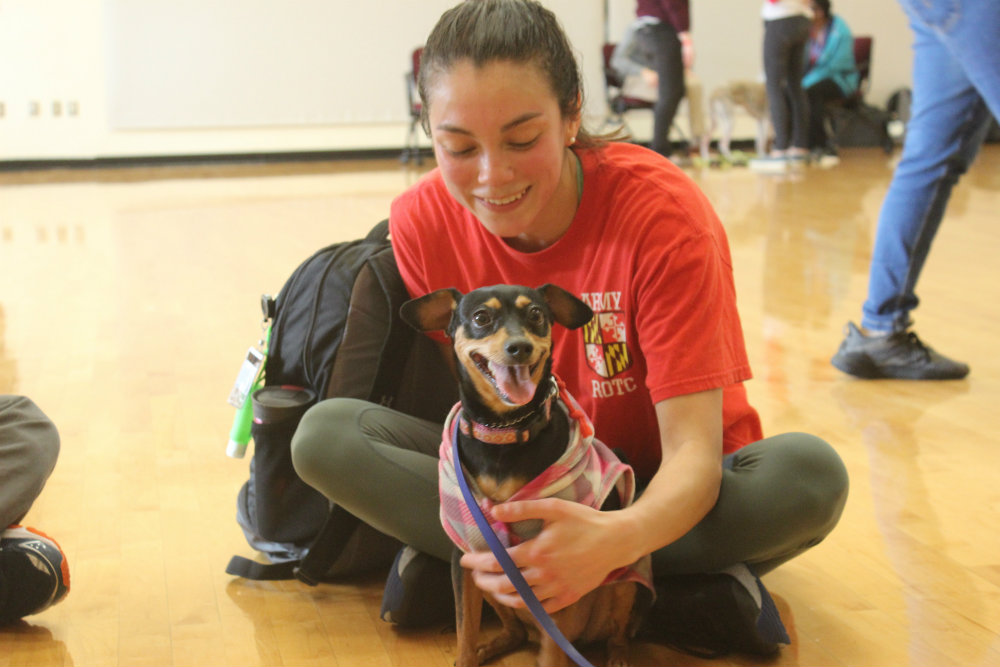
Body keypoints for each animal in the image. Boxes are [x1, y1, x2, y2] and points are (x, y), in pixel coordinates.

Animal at [402, 284, 652, 667]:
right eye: (481, 318)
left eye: (535, 314)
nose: (520, 347)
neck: (504, 429)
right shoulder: (466, 558)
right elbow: (465, 629)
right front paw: (468, 653)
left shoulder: (557, 565)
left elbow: (550, 653)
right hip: (488, 573)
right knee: (516, 631)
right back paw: (489, 648)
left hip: (623, 579)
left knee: (617, 634)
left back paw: (618, 657)